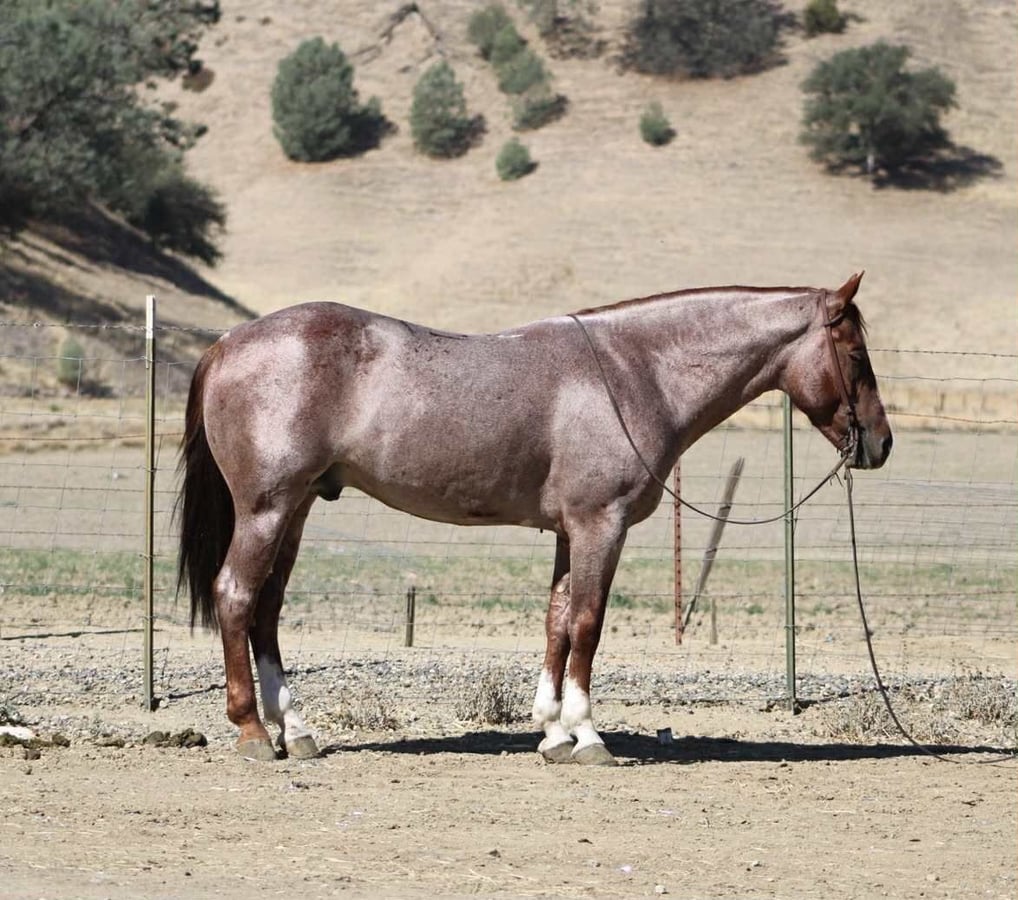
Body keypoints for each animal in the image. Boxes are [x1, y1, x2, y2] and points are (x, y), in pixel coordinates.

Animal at [177, 273, 892, 765]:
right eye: (857, 355)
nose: (881, 444)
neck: (636, 372)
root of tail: (228, 343)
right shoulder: (602, 525)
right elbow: (588, 624)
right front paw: (588, 735)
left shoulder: (569, 533)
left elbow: (557, 622)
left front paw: (552, 732)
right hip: (266, 509)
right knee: (236, 596)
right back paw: (252, 732)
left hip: (294, 510)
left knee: (267, 609)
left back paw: (295, 730)